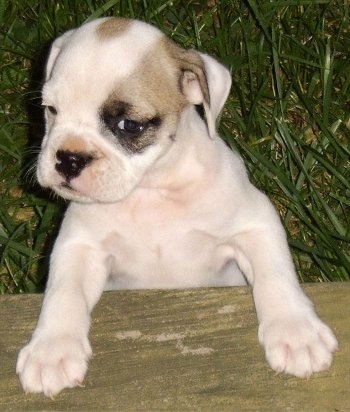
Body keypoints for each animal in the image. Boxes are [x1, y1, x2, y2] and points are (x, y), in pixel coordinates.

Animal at [15, 16, 336, 396]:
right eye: (50, 110)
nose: (69, 158)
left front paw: (296, 331)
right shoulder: (80, 247)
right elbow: (63, 292)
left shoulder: (255, 225)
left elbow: (275, 275)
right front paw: (52, 350)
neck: (152, 187)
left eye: (129, 125)